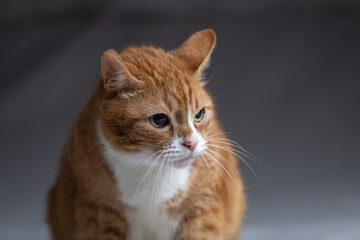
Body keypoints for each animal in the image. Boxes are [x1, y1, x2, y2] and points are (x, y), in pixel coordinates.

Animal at [46, 29, 246, 239]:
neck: (151, 170)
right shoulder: (98, 210)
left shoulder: (202, 209)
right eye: (159, 120)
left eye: (199, 115)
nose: (192, 143)